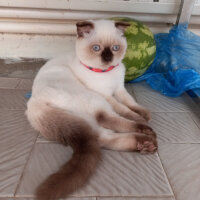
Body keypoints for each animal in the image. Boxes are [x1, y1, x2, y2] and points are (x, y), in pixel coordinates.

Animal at [25, 19, 157, 200]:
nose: (108, 58)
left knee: (103, 139)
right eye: (96, 48)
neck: (107, 73)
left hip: (84, 119)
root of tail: (34, 104)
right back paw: (146, 132)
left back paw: (145, 144)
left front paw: (144, 113)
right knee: (107, 119)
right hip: (94, 100)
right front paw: (140, 118)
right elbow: (124, 110)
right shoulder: (106, 95)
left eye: (115, 48)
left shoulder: (119, 89)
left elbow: (131, 103)